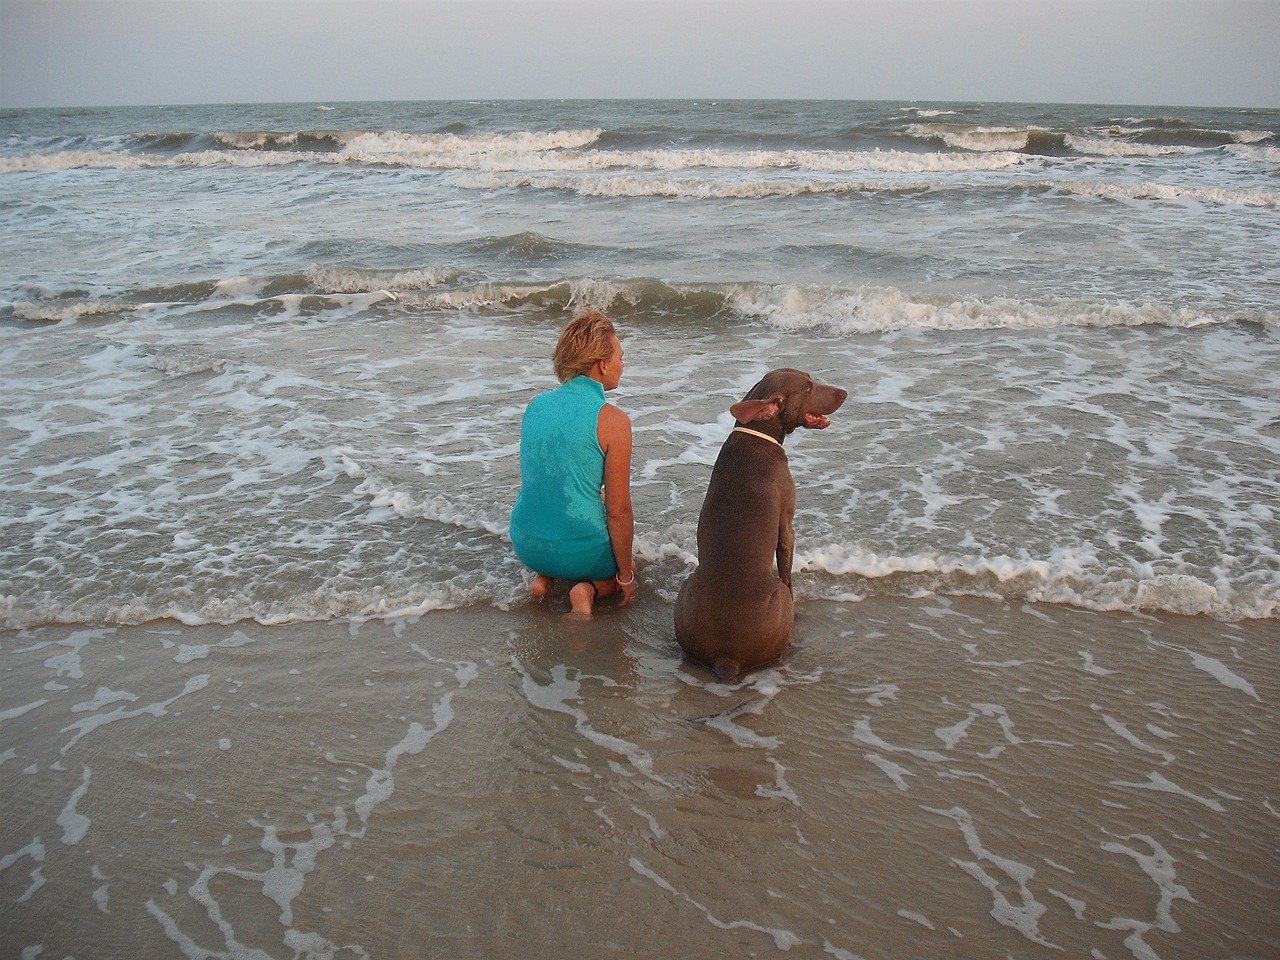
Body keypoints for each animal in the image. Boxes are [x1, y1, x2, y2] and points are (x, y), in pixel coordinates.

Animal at [675, 368, 844, 686]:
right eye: (808, 387)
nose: (844, 392)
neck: (757, 432)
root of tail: (727, 660)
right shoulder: (787, 526)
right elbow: (788, 570)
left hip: (688, 586)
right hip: (776, 597)